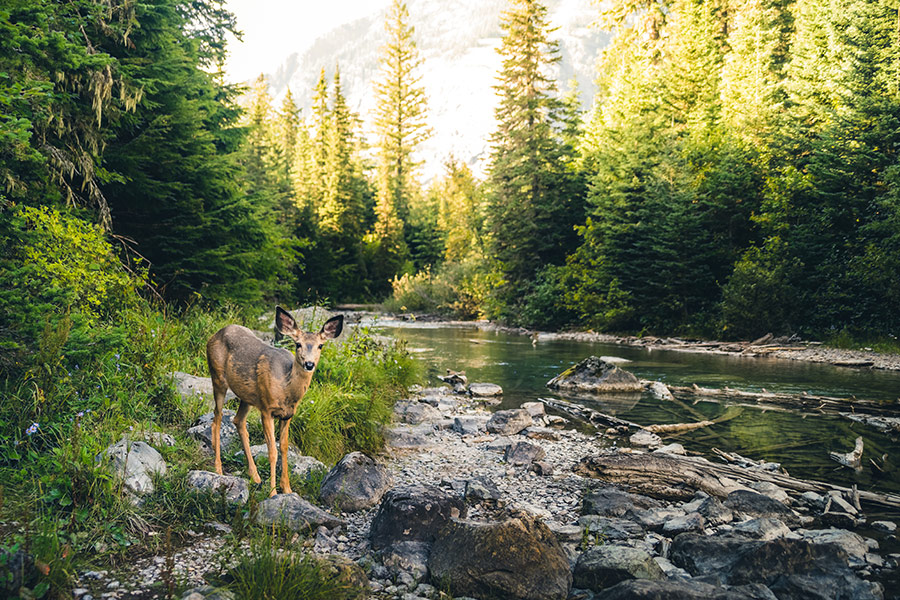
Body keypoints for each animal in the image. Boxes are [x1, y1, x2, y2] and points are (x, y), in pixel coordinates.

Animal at [206, 307, 343, 496]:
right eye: (298, 344)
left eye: (320, 346)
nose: (309, 364)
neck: (286, 389)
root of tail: (215, 335)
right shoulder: (266, 409)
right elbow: (272, 451)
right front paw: (273, 492)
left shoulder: (288, 415)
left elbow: (284, 448)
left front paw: (287, 488)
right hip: (217, 377)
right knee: (217, 419)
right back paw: (218, 469)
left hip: (247, 396)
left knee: (238, 420)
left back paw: (255, 476)